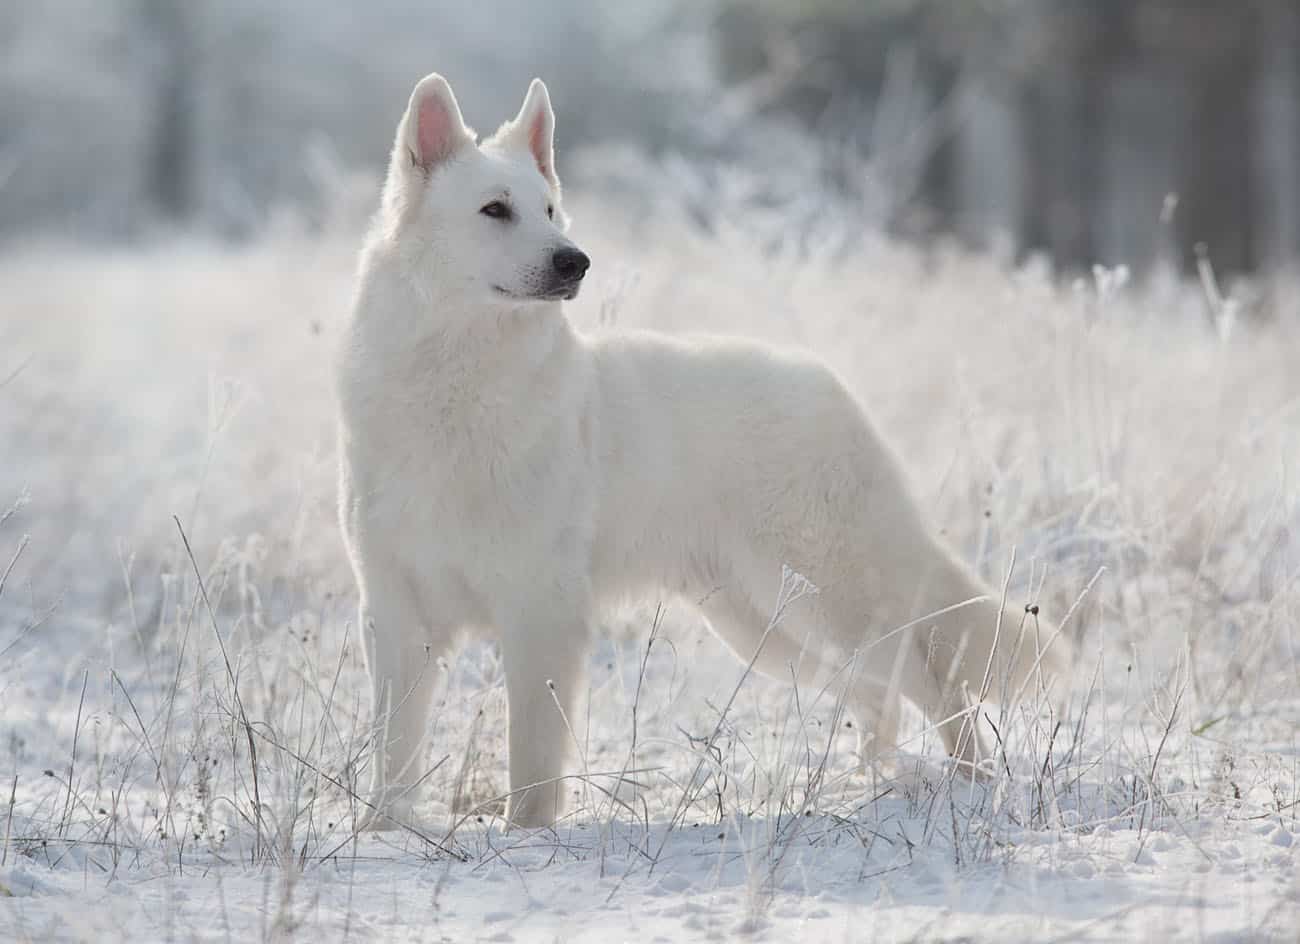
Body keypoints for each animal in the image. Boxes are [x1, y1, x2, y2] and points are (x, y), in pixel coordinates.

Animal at [332, 74, 1066, 826]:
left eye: (550, 211)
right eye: (495, 210)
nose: (576, 260)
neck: (455, 384)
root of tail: (836, 394)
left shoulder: (539, 609)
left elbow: (531, 759)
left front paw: (525, 835)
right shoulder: (395, 617)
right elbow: (394, 750)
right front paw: (383, 832)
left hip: (824, 604)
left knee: (933, 683)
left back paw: (971, 786)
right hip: (763, 626)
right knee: (876, 695)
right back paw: (874, 785)